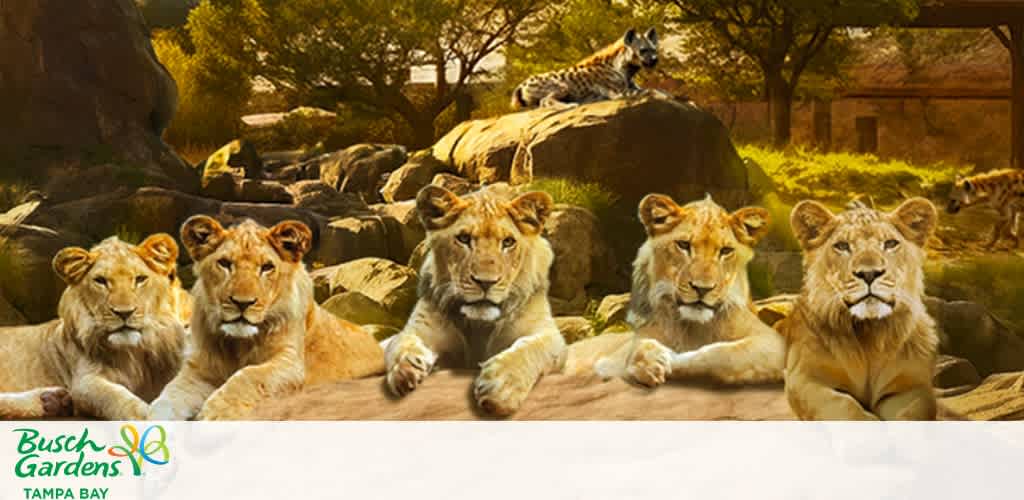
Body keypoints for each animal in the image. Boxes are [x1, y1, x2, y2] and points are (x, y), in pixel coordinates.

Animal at [0, 235, 186, 420]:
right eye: (101, 281)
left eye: (140, 279)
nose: (124, 313)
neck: (134, 354)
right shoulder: (85, 382)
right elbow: (118, 398)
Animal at [148, 217, 384, 421]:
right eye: (224, 263)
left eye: (267, 267)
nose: (242, 303)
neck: (238, 344)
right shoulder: (199, 369)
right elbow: (169, 395)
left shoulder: (291, 363)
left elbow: (248, 375)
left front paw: (216, 412)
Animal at [385, 183, 565, 416]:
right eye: (463, 239)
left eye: (508, 242)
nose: (485, 282)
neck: (479, 325)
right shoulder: (422, 327)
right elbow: (400, 341)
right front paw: (405, 368)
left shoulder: (550, 336)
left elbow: (529, 349)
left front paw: (500, 386)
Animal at [563, 194, 785, 387]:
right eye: (683, 245)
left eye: (726, 251)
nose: (702, 288)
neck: (693, 327)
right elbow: (632, 350)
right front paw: (647, 359)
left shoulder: (772, 343)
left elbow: (720, 354)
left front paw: (665, 358)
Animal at [779, 198, 939, 420]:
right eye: (842, 246)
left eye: (890, 243)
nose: (869, 273)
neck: (870, 336)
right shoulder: (805, 379)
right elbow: (845, 406)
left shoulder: (912, 386)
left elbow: (910, 415)